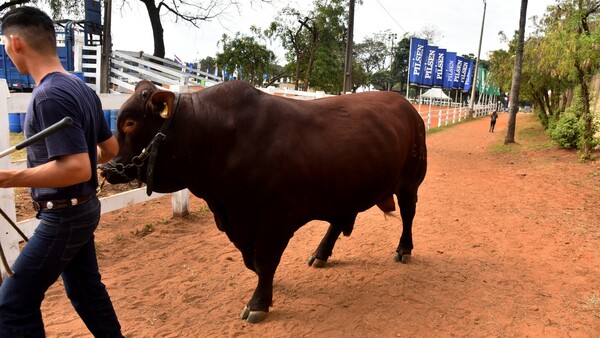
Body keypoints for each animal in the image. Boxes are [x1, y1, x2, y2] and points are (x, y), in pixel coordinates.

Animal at [99, 80, 426, 324]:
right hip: (347, 186)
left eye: (130, 123)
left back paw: (403, 249)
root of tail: (407, 106)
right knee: (339, 220)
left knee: (408, 215)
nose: (106, 168)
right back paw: (320, 253)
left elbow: (264, 260)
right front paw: (265, 287)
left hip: (410, 182)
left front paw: (258, 302)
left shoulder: (274, 221)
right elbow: (252, 260)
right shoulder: (238, 220)